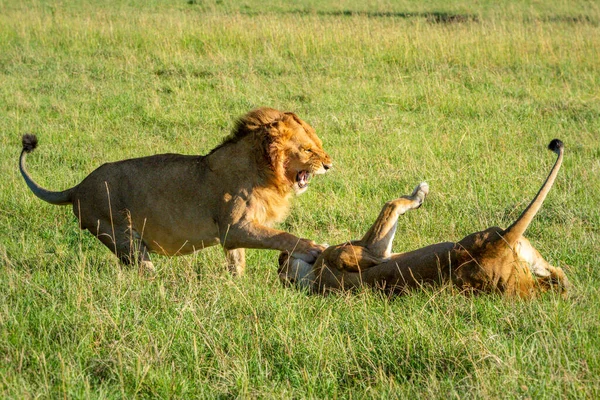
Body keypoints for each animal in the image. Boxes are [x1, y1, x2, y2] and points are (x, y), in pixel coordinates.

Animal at [18, 107, 332, 276]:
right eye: (308, 149)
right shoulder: (233, 228)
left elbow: (237, 262)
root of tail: (78, 187)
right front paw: (314, 248)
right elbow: (282, 236)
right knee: (141, 268)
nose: (330, 164)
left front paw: (238, 285)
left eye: (318, 144)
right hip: (121, 234)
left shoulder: (235, 233)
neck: (263, 170)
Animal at [278, 140, 568, 296]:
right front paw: (420, 193)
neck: (313, 275)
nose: (282, 253)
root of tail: (492, 247)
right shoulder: (373, 249)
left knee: (558, 278)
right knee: (557, 278)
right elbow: (391, 204)